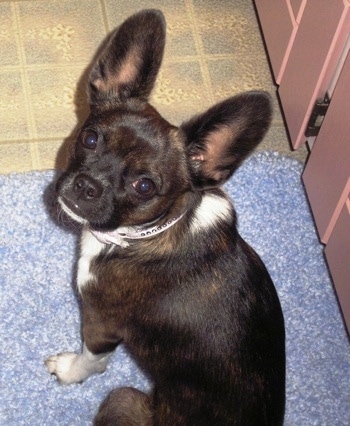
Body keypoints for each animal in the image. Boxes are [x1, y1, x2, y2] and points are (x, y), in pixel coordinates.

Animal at [45, 10, 286, 426]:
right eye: (90, 138)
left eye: (144, 186)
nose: (88, 185)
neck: (144, 234)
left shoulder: (100, 321)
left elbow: (92, 360)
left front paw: (70, 371)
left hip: (122, 399)